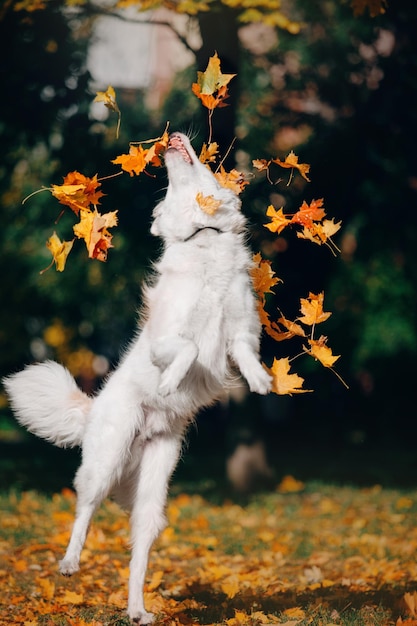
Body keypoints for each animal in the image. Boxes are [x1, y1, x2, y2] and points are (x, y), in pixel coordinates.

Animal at [3, 132, 272, 620]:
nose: (174, 138)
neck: (204, 238)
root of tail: (94, 410)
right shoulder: (164, 340)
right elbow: (187, 348)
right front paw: (168, 383)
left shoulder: (242, 330)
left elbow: (245, 354)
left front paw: (262, 381)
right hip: (104, 461)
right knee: (84, 509)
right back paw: (70, 562)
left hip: (153, 495)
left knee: (138, 555)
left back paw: (136, 609)